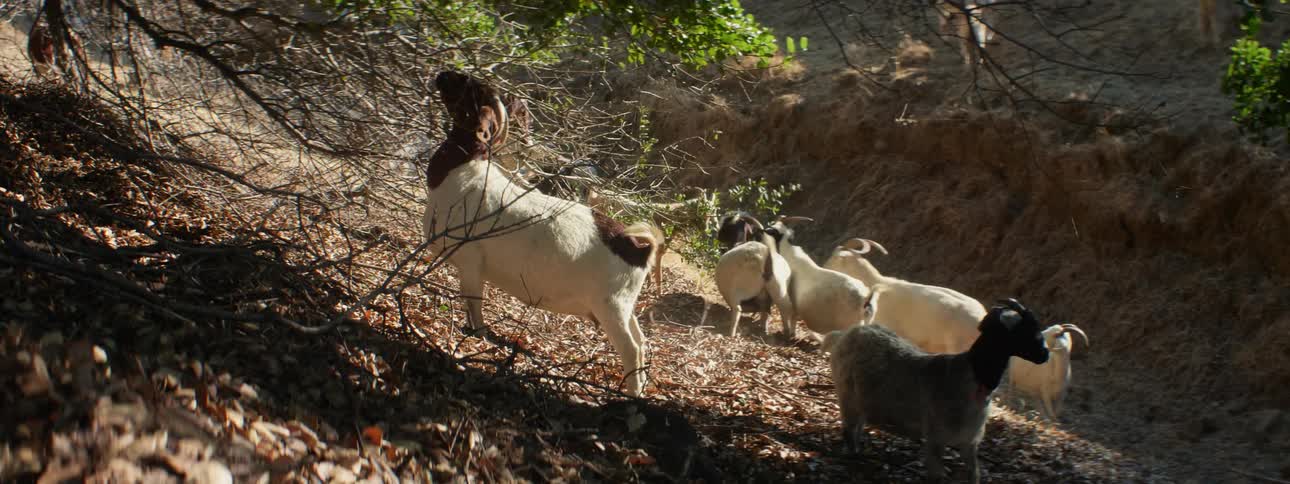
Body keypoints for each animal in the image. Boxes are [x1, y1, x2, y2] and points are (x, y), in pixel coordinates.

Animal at [423, 71, 659, 396]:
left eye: (470, 88)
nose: (442, 75)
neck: (462, 170)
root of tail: (637, 245)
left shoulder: (470, 261)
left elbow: (474, 304)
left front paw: (477, 335)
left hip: (611, 307)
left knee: (631, 348)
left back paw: (631, 393)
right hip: (625, 305)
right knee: (642, 340)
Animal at [824, 298, 1050, 484]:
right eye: (1026, 330)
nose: (1045, 354)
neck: (971, 376)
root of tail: (847, 334)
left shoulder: (969, 441)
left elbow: (974, 475)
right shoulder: (935, 438)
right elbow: (937, 477)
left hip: (861, 400)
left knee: (856, 427)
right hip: (846, 396)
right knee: (848, 431)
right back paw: (852, 456)